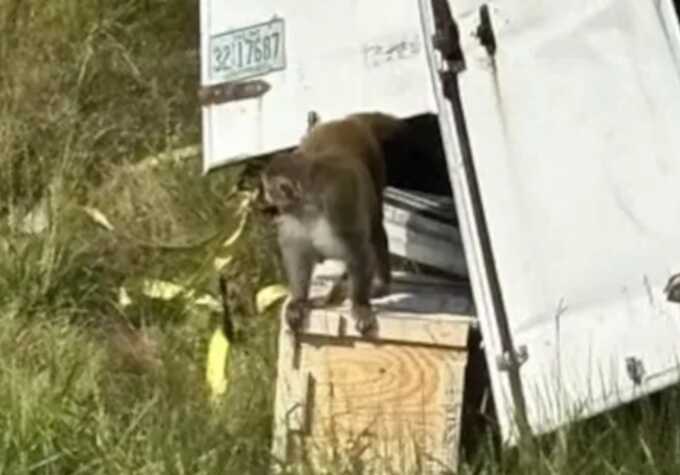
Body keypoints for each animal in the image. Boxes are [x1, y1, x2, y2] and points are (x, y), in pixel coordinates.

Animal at [261, 112, 406, 335]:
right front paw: (299, 300)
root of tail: (347, 121)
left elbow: (359, 251)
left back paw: (380, 285)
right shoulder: (293, 218)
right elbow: (297, 252)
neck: (310, 206)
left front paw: (360, 305)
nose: (264, 196)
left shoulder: (338, 205)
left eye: (269, 189)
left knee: (375, 229)